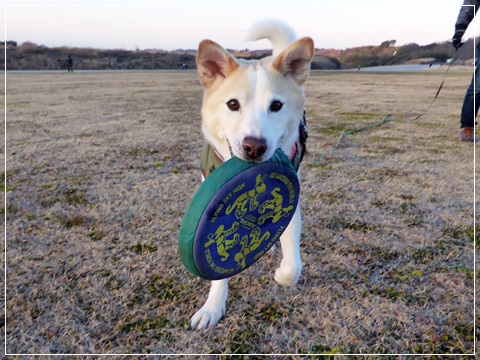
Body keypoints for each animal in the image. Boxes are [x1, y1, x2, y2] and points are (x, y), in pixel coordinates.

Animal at [191, 19, 316, 330]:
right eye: (232, 104)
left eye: (276, 106)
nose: (254, 147)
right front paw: (213, 306)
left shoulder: (291, 197)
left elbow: (293, 263)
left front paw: (282, 274)